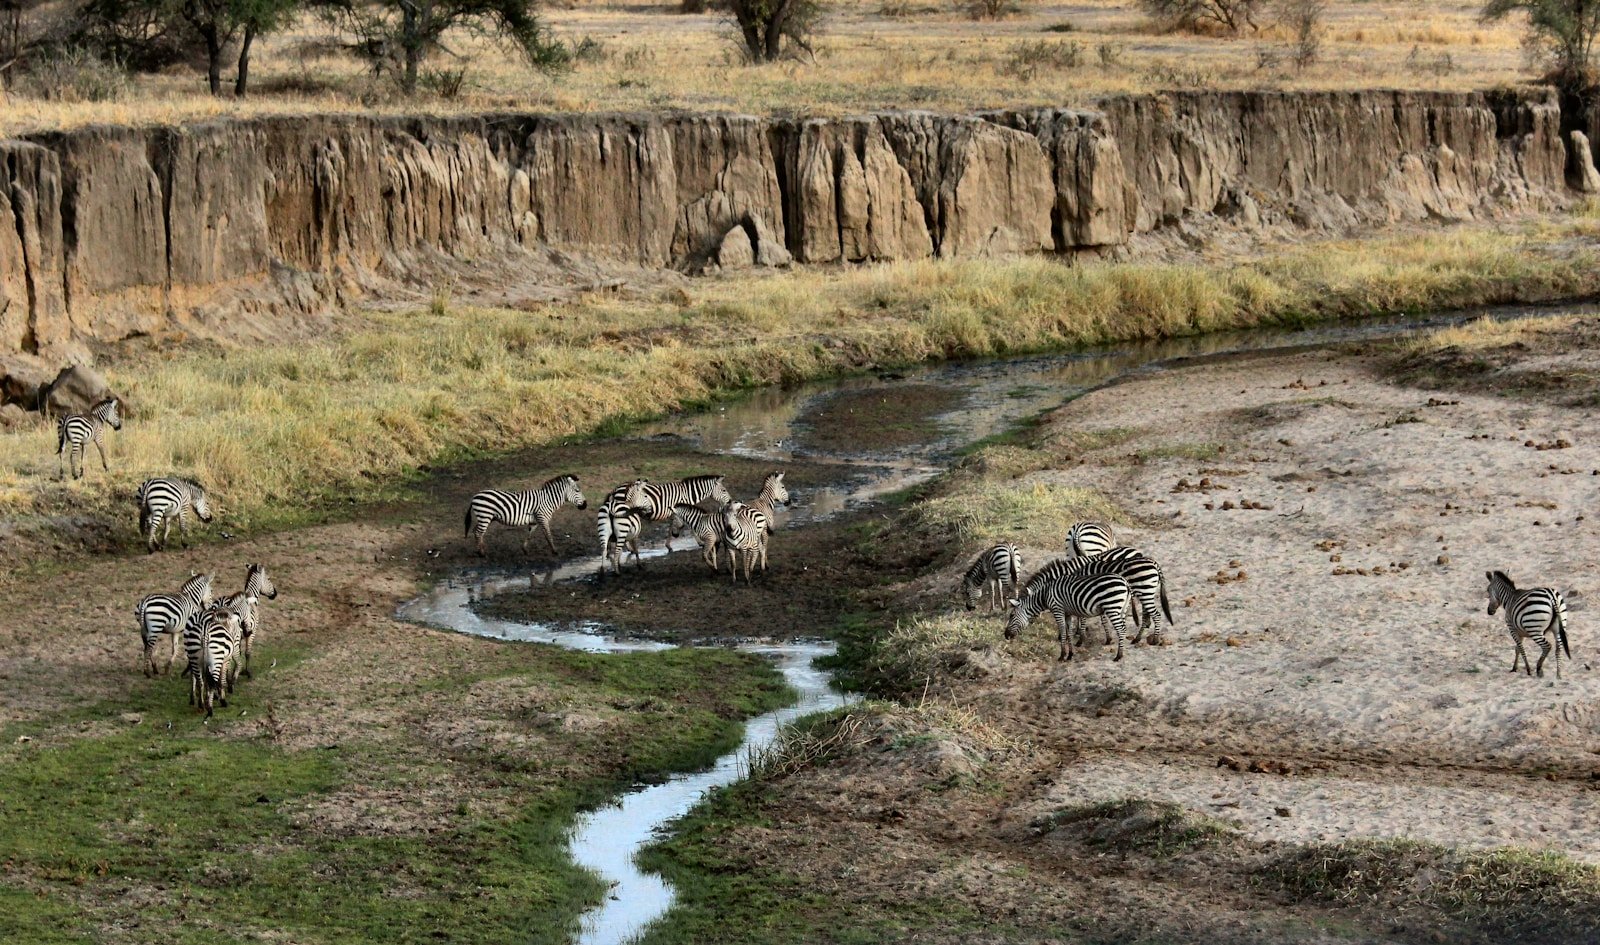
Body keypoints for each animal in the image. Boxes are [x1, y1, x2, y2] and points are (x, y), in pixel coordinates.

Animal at [1005, 572, 1134, 662]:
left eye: (1011, 615)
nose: (1005, 635)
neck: (1045, 595)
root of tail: (1125, 582)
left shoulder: (1057, 610)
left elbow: (1063, 632)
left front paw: (1062, 656)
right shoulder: (1068, 613)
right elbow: (1069, 633)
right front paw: (1070, 655)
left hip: (1112, 607)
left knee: (1121, 630)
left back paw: (1118, 656)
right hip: (1122, 609)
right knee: (1123, 628)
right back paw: (1120, 653)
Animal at [1021, 547, 1172, 645]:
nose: (1030, 626)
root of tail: (1153, 563)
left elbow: (1079, 616)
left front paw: (1077, 634)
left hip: (1144, 590)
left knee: (1154, 613)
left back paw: (1152, 639)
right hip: (1146, 591)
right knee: (1147, 612)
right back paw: (1140, 635)